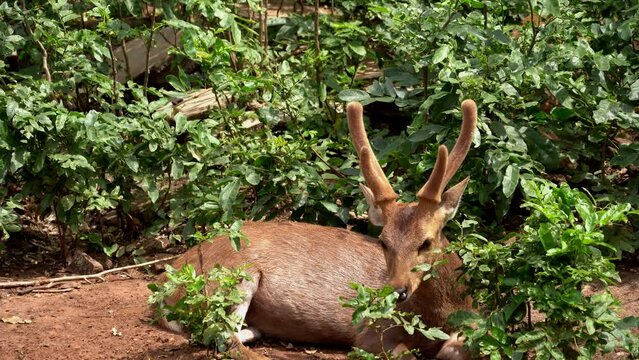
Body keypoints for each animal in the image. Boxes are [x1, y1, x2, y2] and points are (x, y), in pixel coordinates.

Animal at [159, 99, 480, 360]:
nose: (397, 290)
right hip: (234, 276)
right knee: (223, 337)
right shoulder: (371, 332)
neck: (441, 314)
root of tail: (164, 286)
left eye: (426, 241)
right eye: (384, 242)